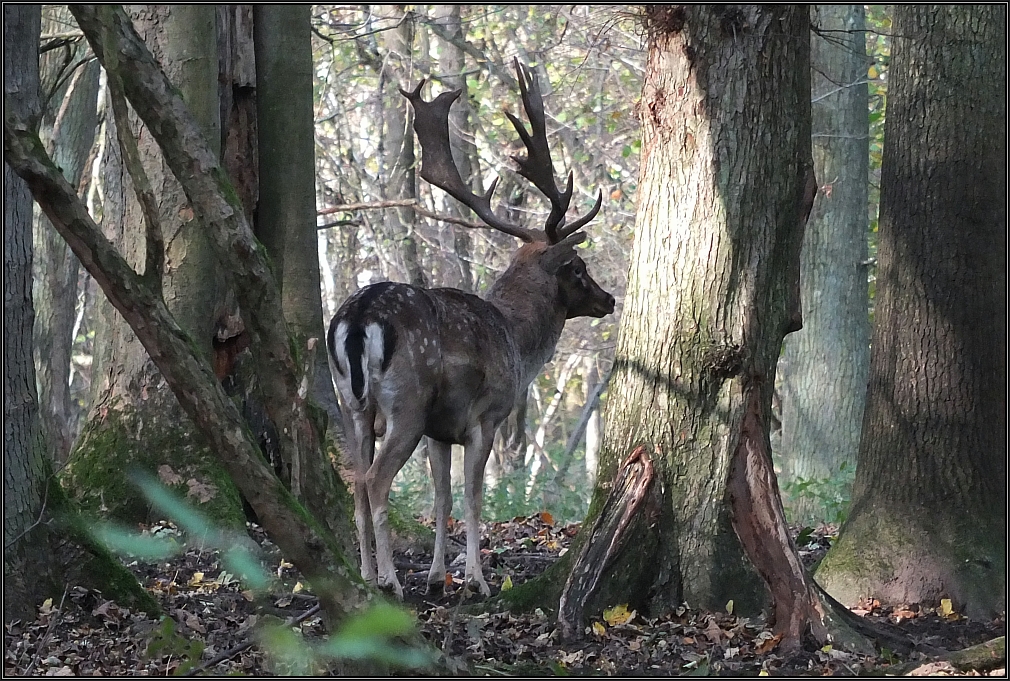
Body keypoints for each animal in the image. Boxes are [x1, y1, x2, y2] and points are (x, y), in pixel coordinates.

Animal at [331, 59, 614, 598]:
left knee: (355, 480)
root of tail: (358, 317)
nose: (609, 299)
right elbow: (472, 497)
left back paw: (364, 574)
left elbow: (442, 497)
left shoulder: (441, 430)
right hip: (408, 401)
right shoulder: (484, 417)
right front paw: (477, 581)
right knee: (376, 481)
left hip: (351, 403)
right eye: (577, 268)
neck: (518, 342)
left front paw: (438, 575)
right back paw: (390, 580)